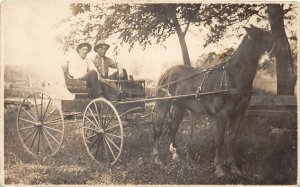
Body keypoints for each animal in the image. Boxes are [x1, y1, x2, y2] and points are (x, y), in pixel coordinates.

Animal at [154, 25, 274, 178]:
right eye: (261, 34)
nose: (275, 42)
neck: (233, 78)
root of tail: (167, 71)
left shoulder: (238, 114)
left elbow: (232, 139)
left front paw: (234, 167)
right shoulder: (222, 114)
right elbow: (219, 140)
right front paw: (219, 168)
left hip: (180, 107)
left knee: (173, 127)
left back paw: (176, 155)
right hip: (163, 106)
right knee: (158, 129)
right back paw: (157, 159)